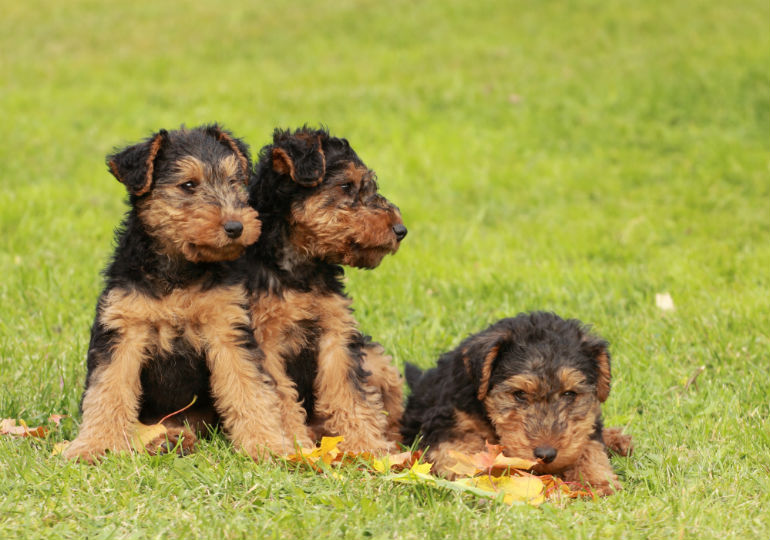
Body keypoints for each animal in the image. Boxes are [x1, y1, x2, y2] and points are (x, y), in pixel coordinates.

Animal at [63, 124, 290, 462]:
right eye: (188, 185)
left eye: (233, 181)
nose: (236, 227)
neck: (179, 273)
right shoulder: (123, 330)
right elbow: (107, 391)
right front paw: (93, 446)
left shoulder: (228, 329)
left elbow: (249, 391)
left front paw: (268, 445)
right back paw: (163, 441)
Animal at [400, 312, 628, 494]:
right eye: (519, 394)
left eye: (569, 393)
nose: (546, 455)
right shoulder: (447, 422)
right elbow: (462, 453)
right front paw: (479, 479)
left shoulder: (586, 423)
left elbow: (590, 446)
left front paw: (597, 482)